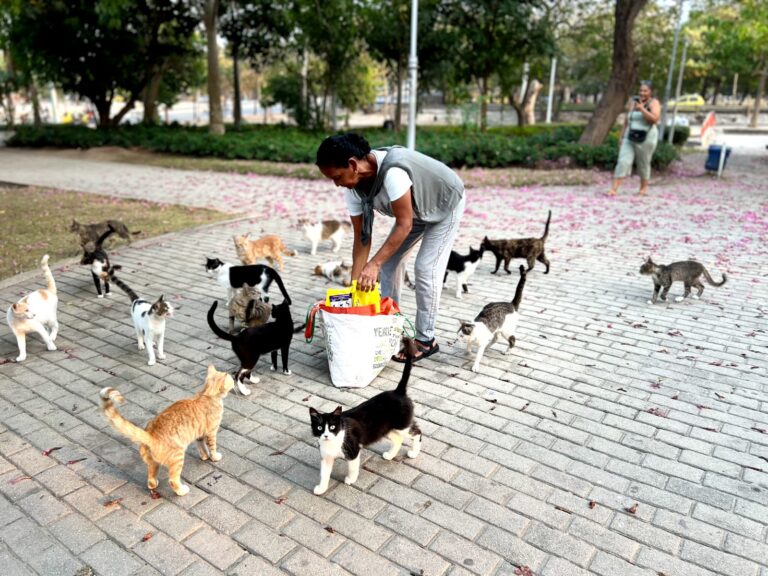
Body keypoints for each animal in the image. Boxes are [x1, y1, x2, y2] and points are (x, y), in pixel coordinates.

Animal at [100, 364, 236, 496]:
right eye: (231, 380)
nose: (235, 380)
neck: (206, 394)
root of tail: (150, 435)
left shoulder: (200, 435)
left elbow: (202, 447)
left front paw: (204, 456)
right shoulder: (211, 432)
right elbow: (212, 447)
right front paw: (214, 457)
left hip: (152, 463)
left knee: (150, 479)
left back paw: (154, 483)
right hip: (178, 458)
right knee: (173, 480)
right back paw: (182, 491)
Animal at [308, 338, 424, 496]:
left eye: (332, 427)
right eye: (320, 428)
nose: (325, 436)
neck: (333, 442)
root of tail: (398, 391)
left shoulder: (353, 450)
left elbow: (352, 468)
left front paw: (350, 479)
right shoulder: (326, 457)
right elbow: (324, 474)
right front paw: (321, 488)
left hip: (402, 425)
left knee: (417, 432)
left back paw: (413, 452)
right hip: (385, 429)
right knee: (398, 439)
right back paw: (390, 455)